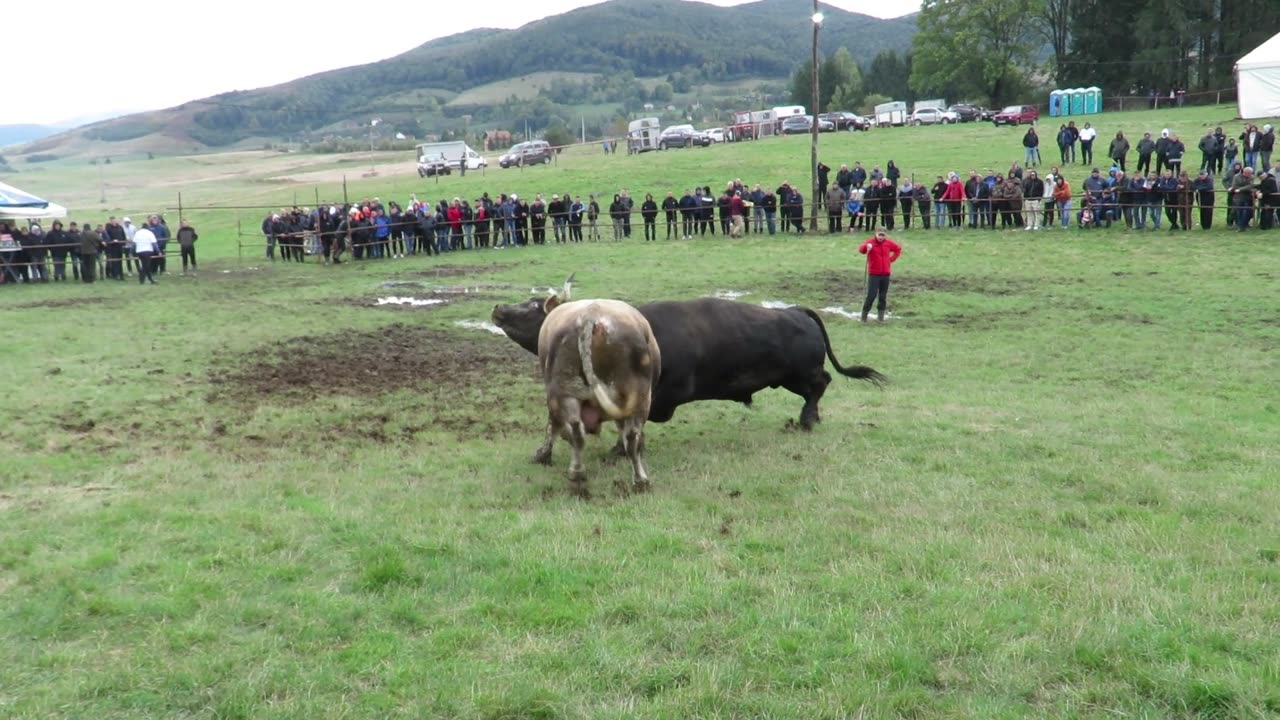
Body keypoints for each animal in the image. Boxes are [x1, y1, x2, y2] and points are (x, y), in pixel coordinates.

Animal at [491, 295, 890, 427]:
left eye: (532, 307)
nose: (498, 308)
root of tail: (794, 311)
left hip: (800, 371)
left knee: (821, 384)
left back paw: (807, 419)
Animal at [532, 278, 665, 489]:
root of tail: (591, 316)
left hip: (566, 390)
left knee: (577, 430)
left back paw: (578, 472)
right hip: (639, 395)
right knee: (630, 436)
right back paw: (639, 479)